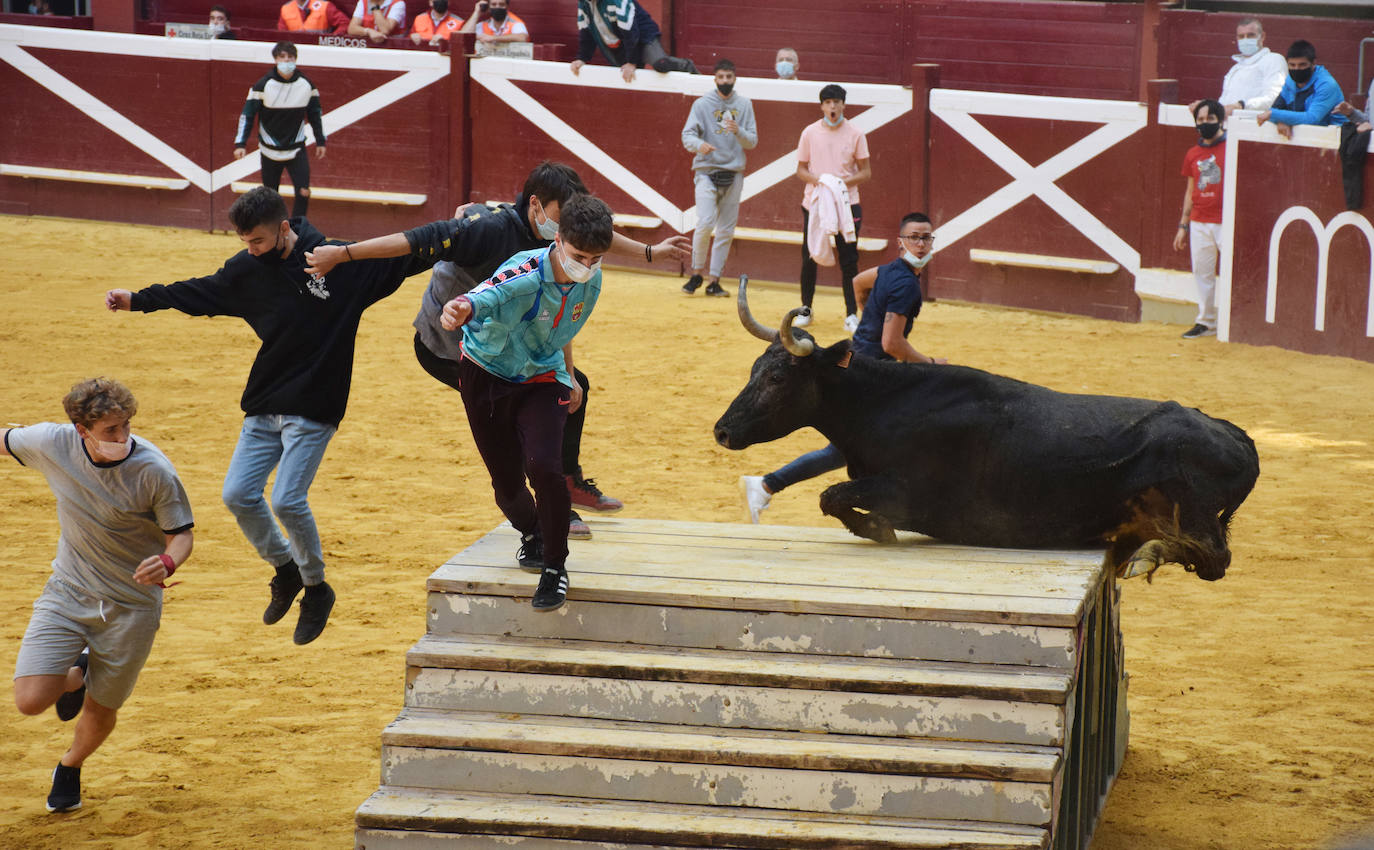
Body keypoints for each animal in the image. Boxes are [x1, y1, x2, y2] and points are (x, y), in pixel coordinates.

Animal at [714, 282, 1258, 582]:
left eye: (777, 377)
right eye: (754, 368)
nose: (722, 431)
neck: (886, 402)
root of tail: (1240, 438)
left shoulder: (909, 488)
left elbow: (832, 495)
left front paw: (879, 529)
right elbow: (834, 495)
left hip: (1193, 509)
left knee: (1215, 558)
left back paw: (1147, 557)